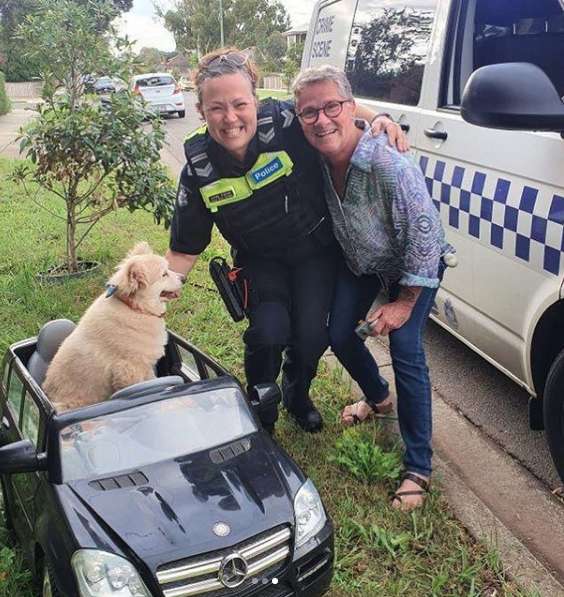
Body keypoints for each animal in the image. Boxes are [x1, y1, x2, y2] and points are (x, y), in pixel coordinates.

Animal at [43, 242, 183, 410]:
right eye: (164, 274)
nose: (184, 278)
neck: (134, 307)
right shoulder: (130, 370)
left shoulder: (145, 367)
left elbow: (152, 379)